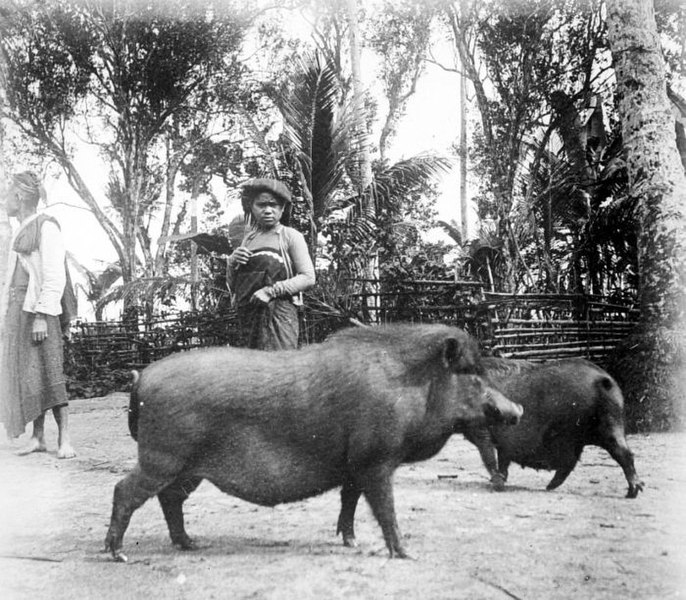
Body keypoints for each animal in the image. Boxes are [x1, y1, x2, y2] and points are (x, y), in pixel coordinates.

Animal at [105, 324, 524, 564]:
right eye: (471, 374)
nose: (516, 408)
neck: (411, 385)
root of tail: (142, 377)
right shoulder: (376, 458)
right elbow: (384, 507)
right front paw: (407, 554)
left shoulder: (354, 463)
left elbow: (349, 500)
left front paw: (350, 542)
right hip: (162, 455)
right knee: (124, 490)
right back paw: (118, 554)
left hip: (187, 467)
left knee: (169, 498)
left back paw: (191, 545)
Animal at [460, 356, 648, 496]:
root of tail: (604, 379)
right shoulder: (503, 442)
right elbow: (502, 459)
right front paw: (501, 480)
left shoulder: (482, 430)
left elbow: (489, 455)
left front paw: (496, 484)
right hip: (612, 423)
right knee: (623, 452)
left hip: (584, 431)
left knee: (584, 458)